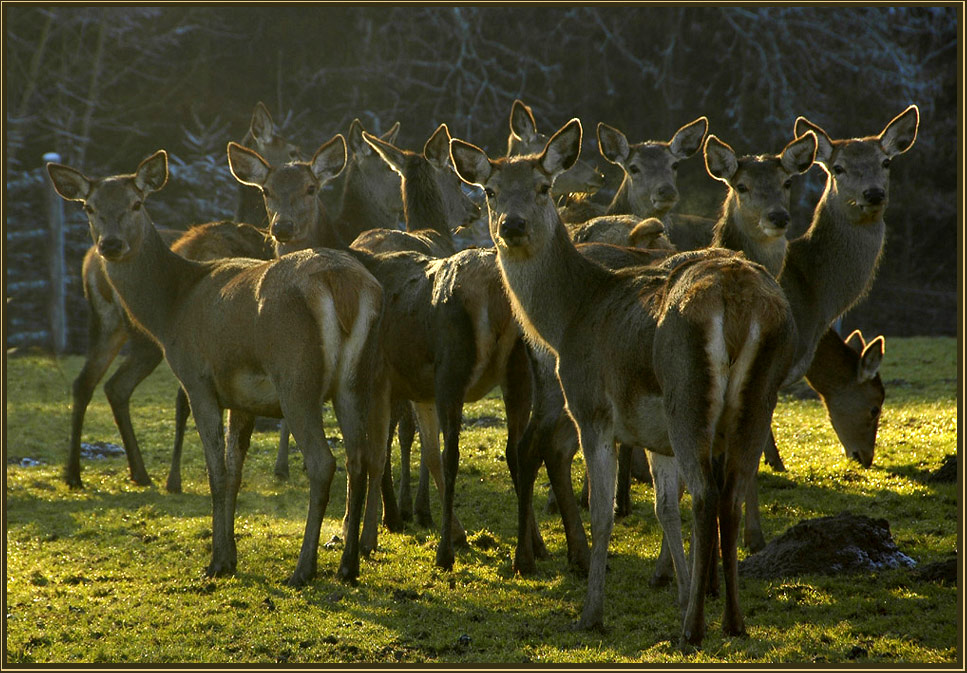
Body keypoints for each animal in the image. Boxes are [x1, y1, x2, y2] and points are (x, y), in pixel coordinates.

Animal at [47, 148, 390, 584]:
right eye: (89, 207)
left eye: (137, 203)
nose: (110, 243)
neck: (172, 308)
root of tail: (341, 283)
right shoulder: (243, 398)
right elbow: (235, 471)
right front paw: (230, 557)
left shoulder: (198, 381)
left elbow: (216, 471)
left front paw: (215, 561)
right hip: (356, 380)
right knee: (359, 458)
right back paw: (348, 566)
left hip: (296, 377)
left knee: (323, 462)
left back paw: (303, 569)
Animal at [229, 127, 544, 568]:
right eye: (266, 191)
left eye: (311, 188)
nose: (283, 227)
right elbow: (395, 451)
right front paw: (370, 530)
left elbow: (383, 451)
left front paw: (370, 531)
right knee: (511, 448)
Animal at [450, 119, 796, 644]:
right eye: (491, 190)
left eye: (543, 186)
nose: (512, 225)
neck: (569, 318)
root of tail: (738, 300)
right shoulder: (653, 434)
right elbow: (664, 508)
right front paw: (678, 591)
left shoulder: (592, 409)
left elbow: (604, 511)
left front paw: (592, 613)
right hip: (759, 396)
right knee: (732, 494)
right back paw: (733, 622)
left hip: (686, 396)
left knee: (706, 494)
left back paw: (693, 629)